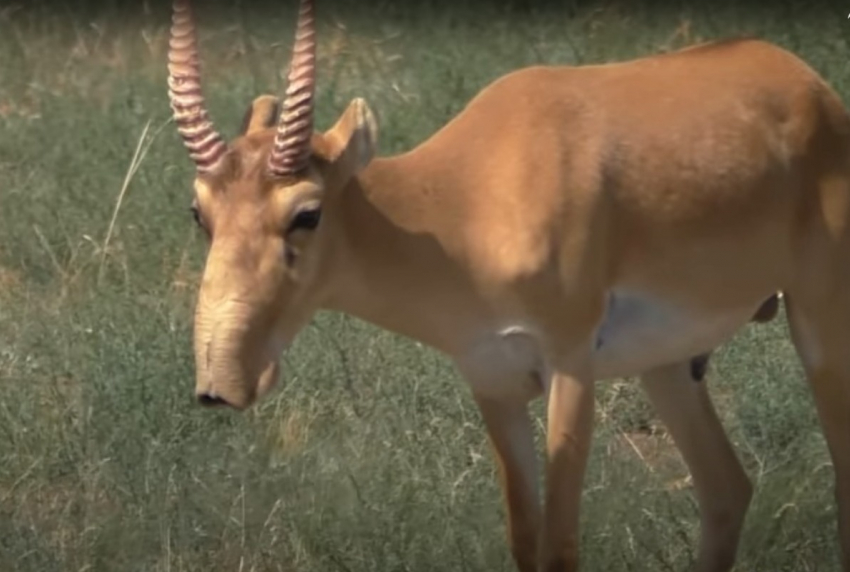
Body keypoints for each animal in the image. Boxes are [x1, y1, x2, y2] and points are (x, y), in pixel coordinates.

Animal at [164, 0, 848, 568]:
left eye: (306, 212)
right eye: (200, 211)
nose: (220, 385)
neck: (462, 202)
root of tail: (804, 81)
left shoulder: (570, 363)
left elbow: (561, 545)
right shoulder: (492, 381)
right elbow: (524, 541)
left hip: (818, 316)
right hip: (670, 365)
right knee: (727, 488)